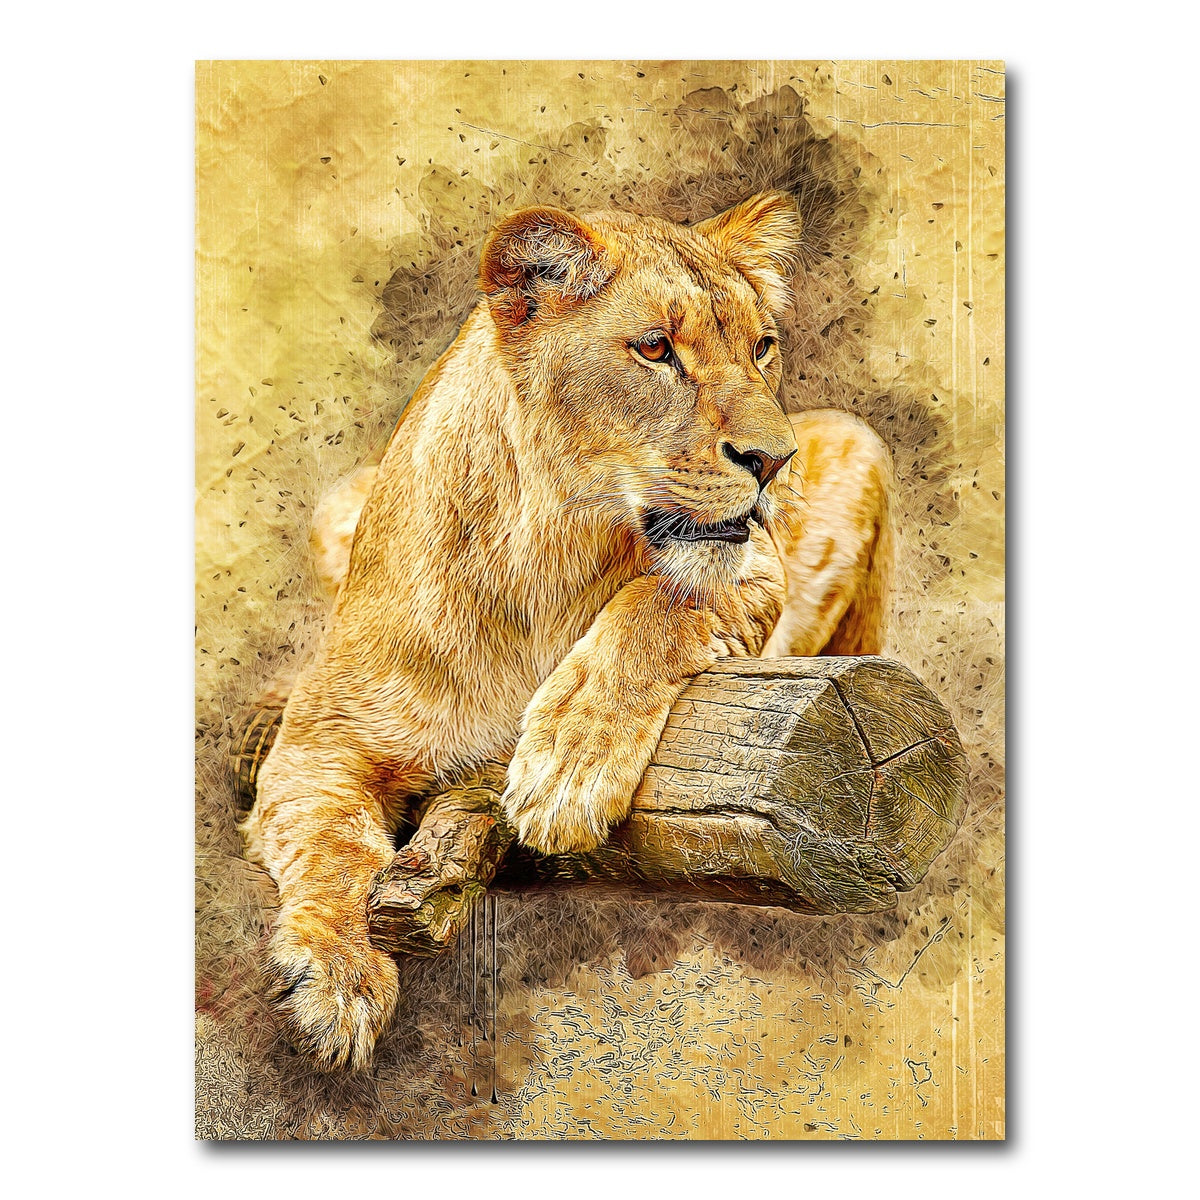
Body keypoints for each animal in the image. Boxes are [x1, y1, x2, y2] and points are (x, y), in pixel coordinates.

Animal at [241, 192, 894, 1070]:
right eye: (655, 348)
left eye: (763, 346)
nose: (774, 460)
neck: (547, 554)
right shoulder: (319, 744)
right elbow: (329, 842)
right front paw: (337, 979)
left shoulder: (756, 569)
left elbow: (658, 601)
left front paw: (566, 768)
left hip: (860, 443)